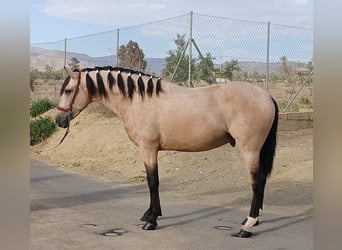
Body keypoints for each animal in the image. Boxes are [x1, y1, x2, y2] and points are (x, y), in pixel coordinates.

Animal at [54, 65, 278, 237]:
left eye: (68, 90)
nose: (59, 120)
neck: (139, 100)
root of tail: (266, 96)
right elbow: (151, 182)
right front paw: (148, 214)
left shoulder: (148, 149)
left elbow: (153, 182)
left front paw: (151, 220)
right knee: (261, 181)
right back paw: (252, 220)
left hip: (249, 149)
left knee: (257, 182)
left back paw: (247, 227)